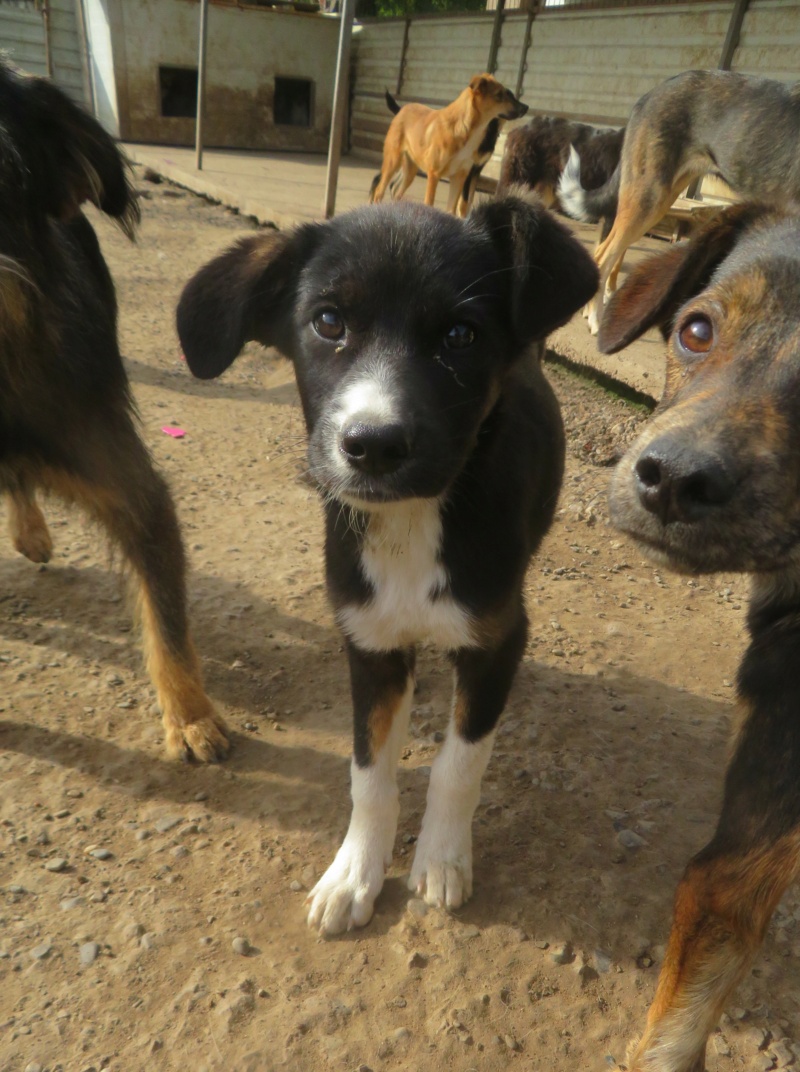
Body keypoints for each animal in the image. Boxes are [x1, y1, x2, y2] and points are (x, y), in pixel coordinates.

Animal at [178, 197, 596, 934]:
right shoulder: (368, 642)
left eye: (460, 335)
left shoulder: (497, 636)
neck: (411, 523)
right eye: (328, 322)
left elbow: (459, 764)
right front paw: (354, 873)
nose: (372, 445)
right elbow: (368, 772)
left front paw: (441, 859)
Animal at [366, 73, 523, 215]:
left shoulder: (460, 177)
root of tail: (402, 109)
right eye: (499, 95)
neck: (466, 128)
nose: (525, 108)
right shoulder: (434, 175)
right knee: (379, 190)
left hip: (410, 170)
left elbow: (451, 210)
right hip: (393, 162)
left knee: (397, 192)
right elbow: (431, 204)